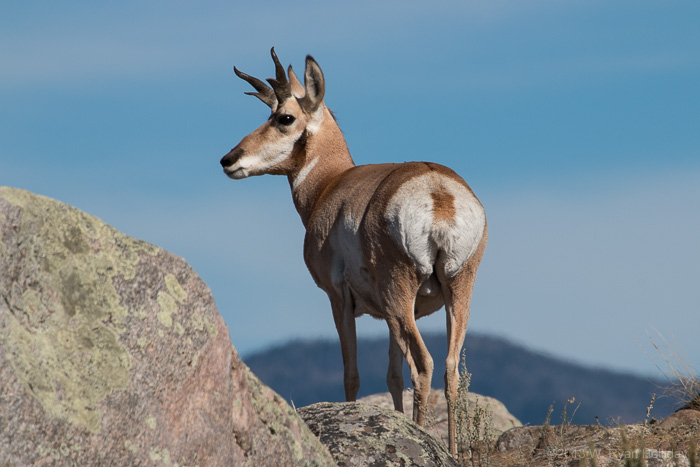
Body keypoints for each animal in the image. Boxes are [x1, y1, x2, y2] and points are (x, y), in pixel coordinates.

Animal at [219, 47, 486, 454]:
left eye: (284, 117)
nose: (228, 159)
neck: (331, 183)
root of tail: (438, 192)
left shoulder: (339, 299)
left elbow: (352, 374)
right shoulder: (391, 318)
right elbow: (392, 375)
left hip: (400, 295)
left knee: (423, 364)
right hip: (454, 294)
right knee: (449, 368)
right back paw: (451, 451)